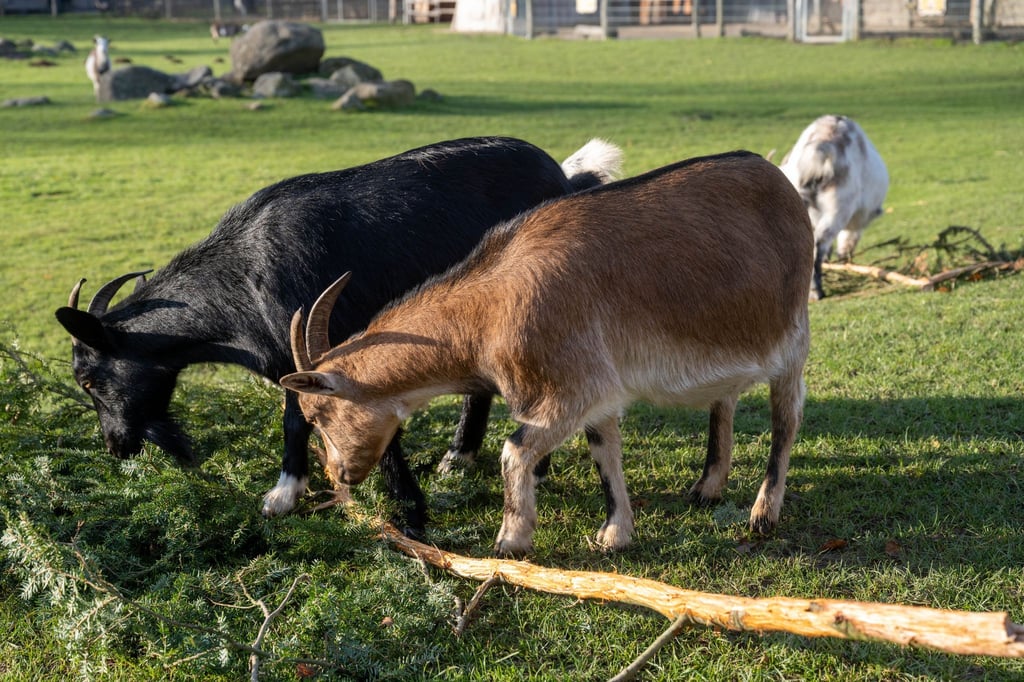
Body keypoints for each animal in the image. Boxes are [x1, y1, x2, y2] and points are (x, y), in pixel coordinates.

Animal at [54, 136, 622, 534]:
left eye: (89, 380)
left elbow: (328, 420)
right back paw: (459, 458)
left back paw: (531, 466)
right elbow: (297, 420)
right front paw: (289, 493)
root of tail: (565, 178)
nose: (116, 446)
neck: (242, 277)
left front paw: (406, 512)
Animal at [281, 150, 814, 557]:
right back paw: (708, 487)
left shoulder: (569, 386)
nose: (341, 473)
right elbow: (604, 451)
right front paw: (615, 534)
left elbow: (514, 450)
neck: (488, 309)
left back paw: (763, 513)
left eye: (320, 412)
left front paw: (511, 541)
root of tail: (779, 181)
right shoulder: (596, 388)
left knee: (786, 420)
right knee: (724, 402)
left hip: (792, 338)